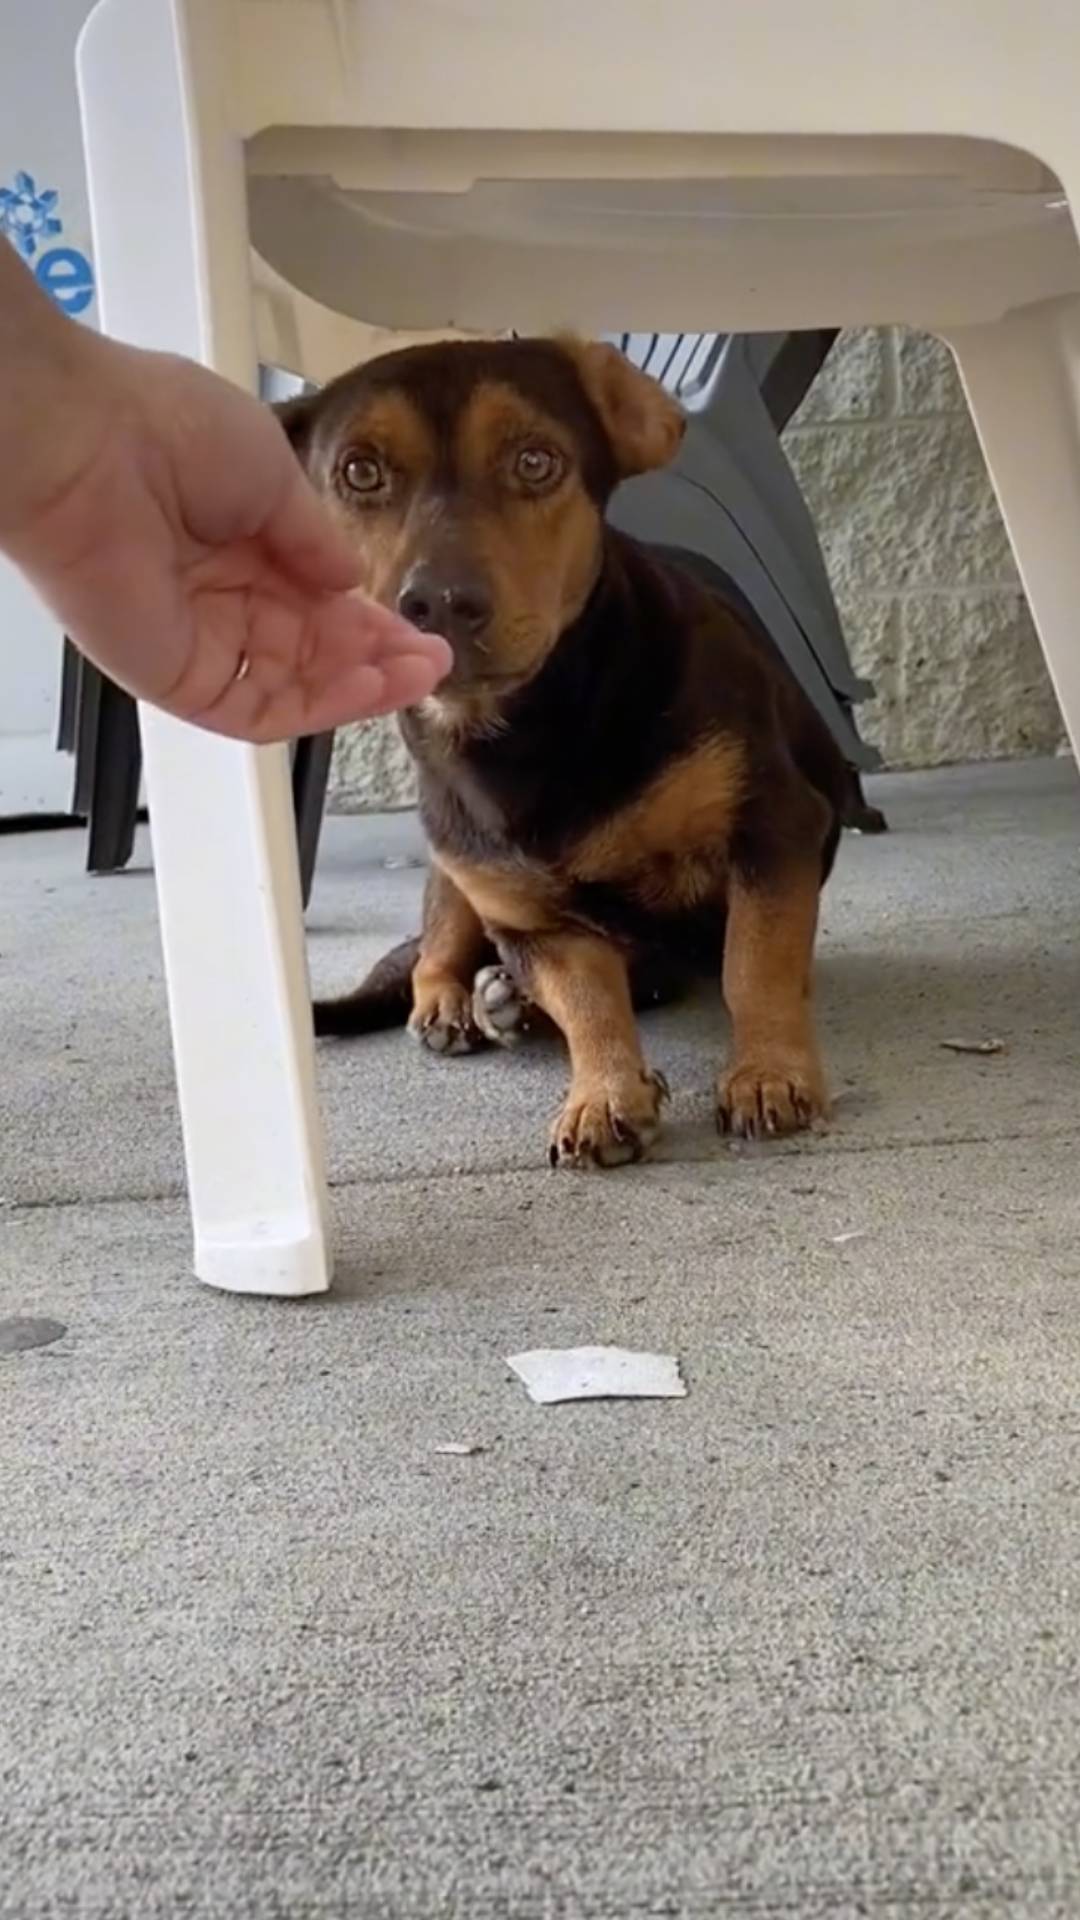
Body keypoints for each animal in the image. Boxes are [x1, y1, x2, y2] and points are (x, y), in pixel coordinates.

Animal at [278, 332, 849, 1167]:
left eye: (536, 461)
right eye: (359, 471)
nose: (439, 602)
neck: (531, 730)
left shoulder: (770, 825)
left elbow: (755, 963)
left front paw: (768, 1073)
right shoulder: (533, 922)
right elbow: (587, 1003)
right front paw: (602, 1094)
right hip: (454, 865)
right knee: (431, 953)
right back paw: (461, 1004)